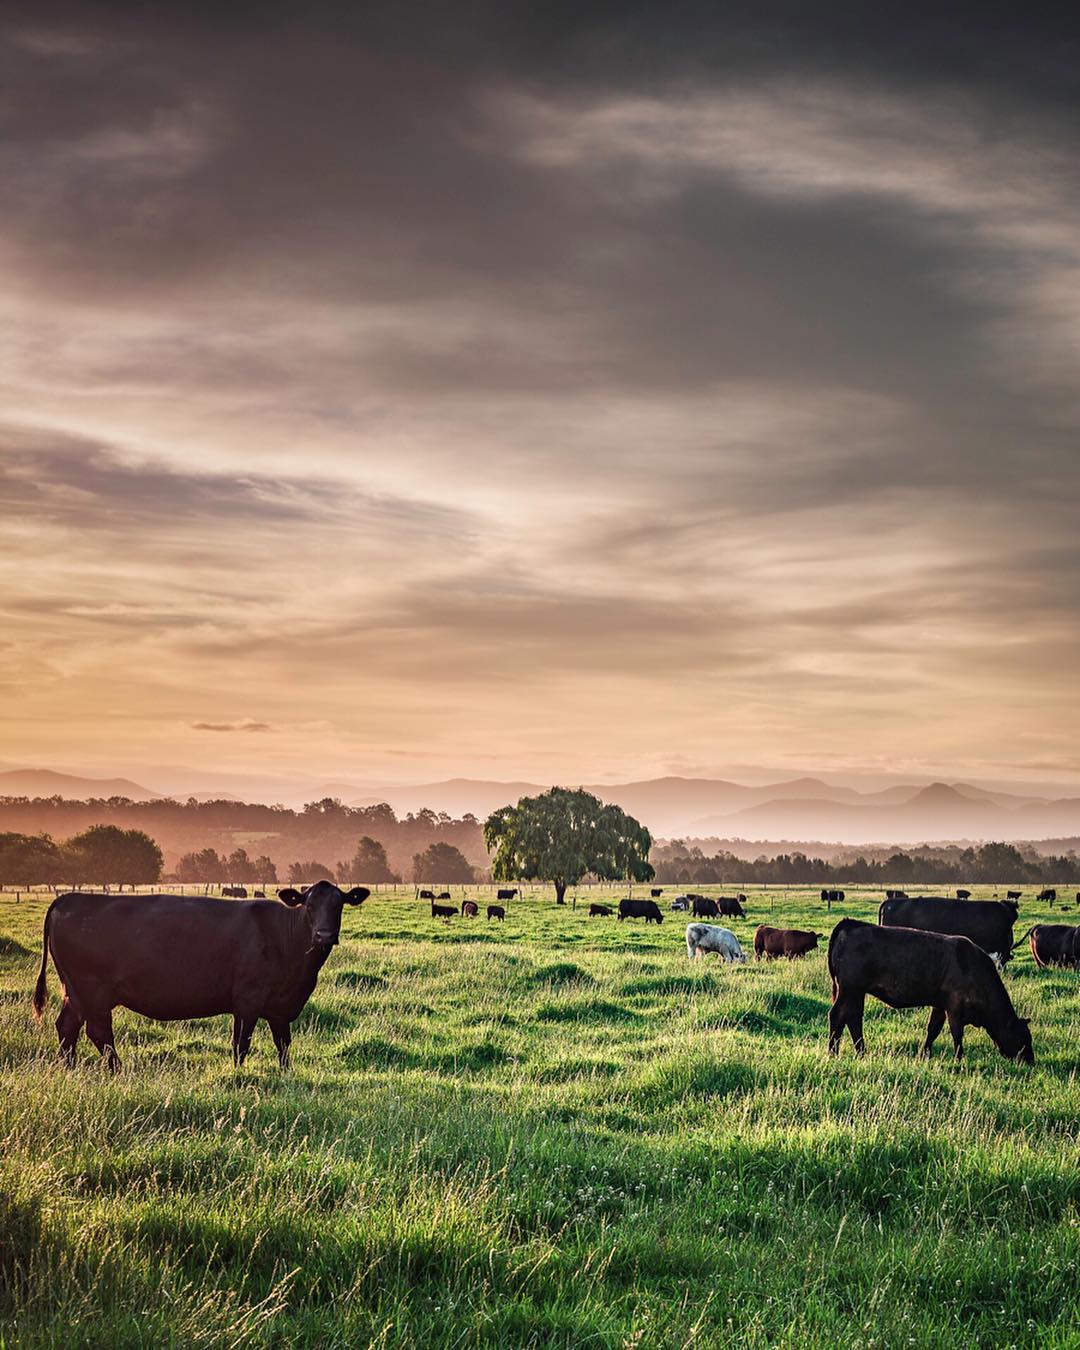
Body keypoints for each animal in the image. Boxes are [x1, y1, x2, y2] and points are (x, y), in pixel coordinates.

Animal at [31, 880, 369, 1069]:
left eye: (339, 905)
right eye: (308, 905)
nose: (324, 935)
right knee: (97, 1032)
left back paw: (70, 1069)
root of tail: (69, 898)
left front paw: (286, 1075)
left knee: (68, 1028)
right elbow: (241, 1044)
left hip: (75, 991)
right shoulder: (248, 1000)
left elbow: (283, 1045)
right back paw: (117, 1070)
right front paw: (238, 1077)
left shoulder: (277, 1007)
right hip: (91, 991)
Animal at [826, 918, 1036, 1063]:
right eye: (1023, 1039)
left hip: (854, 992)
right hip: (849, 989)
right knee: (837, 1015)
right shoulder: (954, 1006)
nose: (1030, 1061)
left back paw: (860, 1052)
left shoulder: (940, 1005)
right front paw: (959, 1059)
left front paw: (924, 1054)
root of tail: (849, 924)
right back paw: (833, 1053)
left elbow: (933, 1029)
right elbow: (957, 1033)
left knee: (852, 1018)